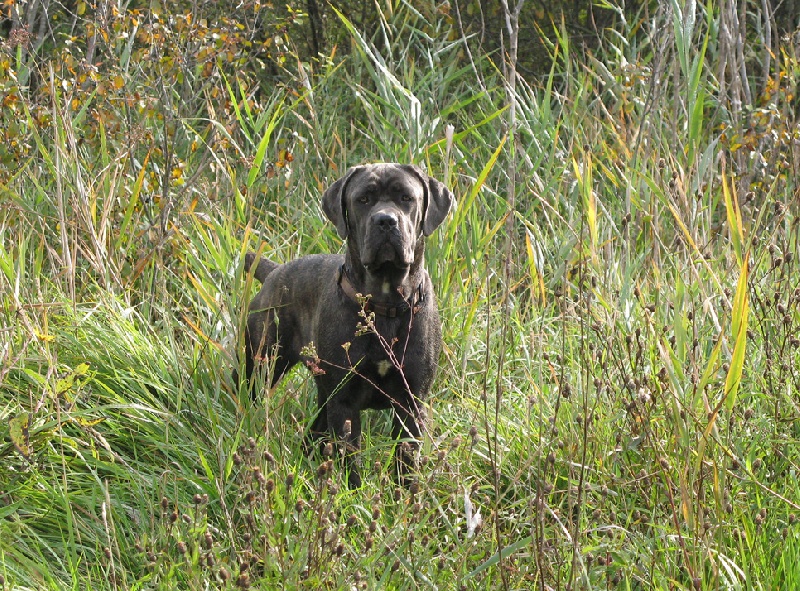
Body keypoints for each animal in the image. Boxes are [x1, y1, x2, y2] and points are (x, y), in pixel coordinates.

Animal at [240, 163, 453, 487]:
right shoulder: (344, 402)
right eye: (362, 199)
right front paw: (350, 492)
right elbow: (349, 459)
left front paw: (404, 496)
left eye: (407, 197)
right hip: (263, 364)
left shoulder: (411, 401)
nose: (385, 220)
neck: (385, 304)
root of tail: (275, 271)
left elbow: (405, 459)